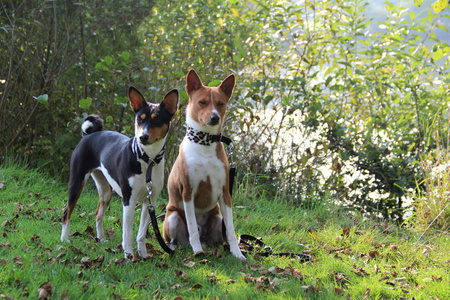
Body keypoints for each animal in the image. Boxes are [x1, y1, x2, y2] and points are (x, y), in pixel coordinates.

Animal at [60, 85, 179, 258]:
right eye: (139, 119)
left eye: (157, 120)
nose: (143, 137)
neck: (147, 160)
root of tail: (89, 134)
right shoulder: (128, 200)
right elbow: (127, 233)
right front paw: (129, 256)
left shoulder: (149, 201)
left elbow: (141, 233)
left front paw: (143, 255)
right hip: (77, 182)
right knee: (66, 212)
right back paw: (64, 239)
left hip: (105, 191)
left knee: (98, 214)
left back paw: (101, 239)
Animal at [163, 69, 246, 262]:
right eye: (202, 102)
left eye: (220, 103)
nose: (215, 117)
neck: (205, 143)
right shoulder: (187, 192)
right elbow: (192, 227)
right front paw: (197, 251)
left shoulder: (225, 193)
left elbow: (231, 231)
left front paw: (237, 253)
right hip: (172, 217)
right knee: (177, 238)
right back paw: (179, 247)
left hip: (217, 220)